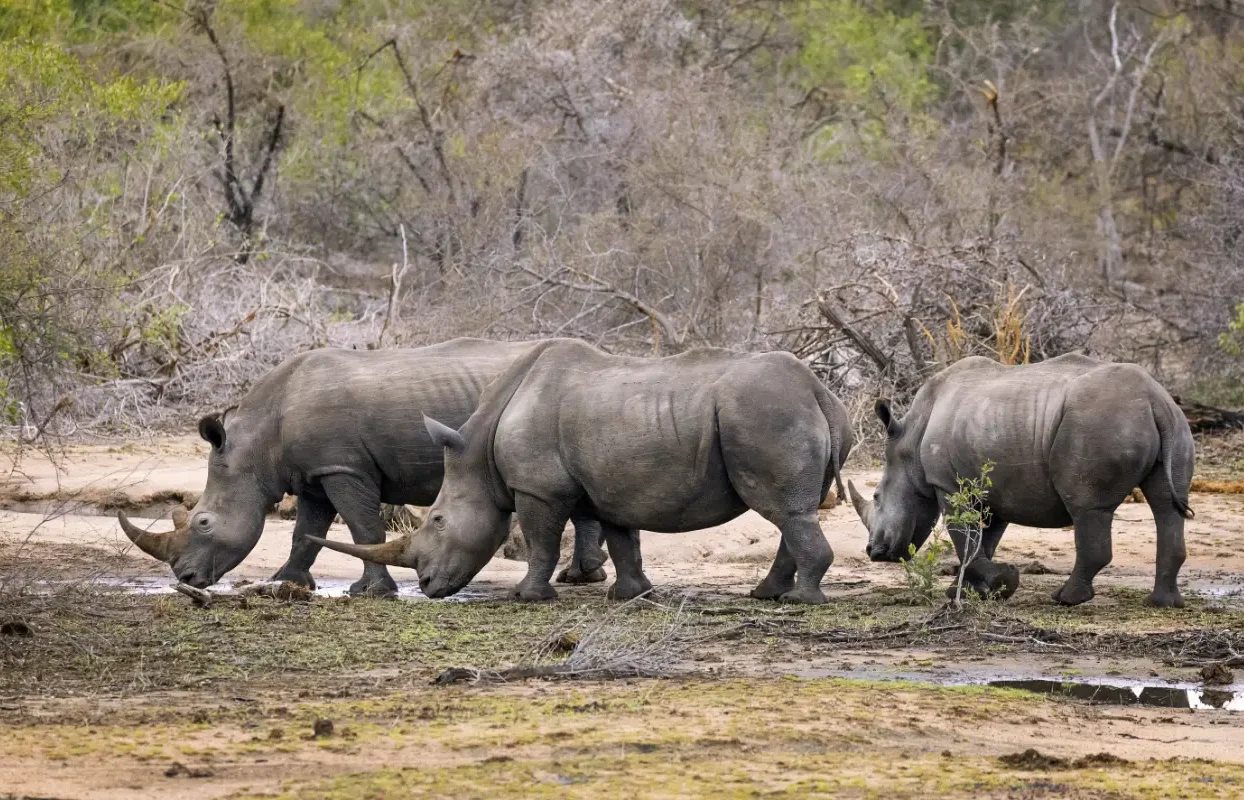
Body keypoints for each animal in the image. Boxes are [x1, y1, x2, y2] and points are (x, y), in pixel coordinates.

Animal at [117, 338, 607, 596]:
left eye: (202, 522)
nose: (186, 579)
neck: (255, 445)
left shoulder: (343, 468)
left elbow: (361, 527)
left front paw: (370, 592)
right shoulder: (316, 473)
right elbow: (305, 532)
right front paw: (288, 584)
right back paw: (582, 577)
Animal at [309, 339, 853, 604]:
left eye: (438, 521)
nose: (426, 587)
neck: (478, 454)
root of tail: (820, 391)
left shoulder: (538, 488)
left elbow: (541, 540)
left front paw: (527, 597)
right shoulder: (612, 484)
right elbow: (622, 538)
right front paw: (630, 595)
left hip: (765, 412)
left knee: (784, 510)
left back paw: (801, 601)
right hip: (788, 411)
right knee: (793, 511)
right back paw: (769, 595)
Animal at [847, 354, 1195, 607]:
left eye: (876, 497)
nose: (873, 551)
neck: (911, 437)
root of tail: (1154, 400)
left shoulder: (947, 484)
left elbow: (966, 539)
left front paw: (1002, 582)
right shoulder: (994, 490)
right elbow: (983, 541)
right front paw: (969, 590)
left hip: (1099, 422)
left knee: (1088, 508)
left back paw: (1065, 599)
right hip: (1175, 425)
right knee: (1166, 506)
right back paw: (1163, 603)